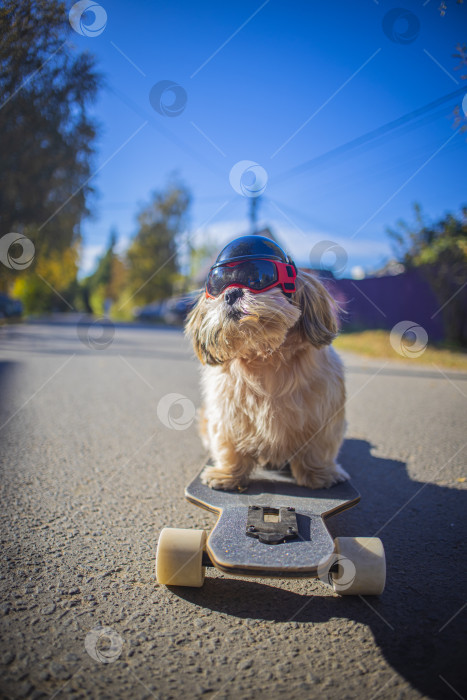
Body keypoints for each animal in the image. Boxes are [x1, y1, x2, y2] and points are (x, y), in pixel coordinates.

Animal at [185, 238, 350, 490]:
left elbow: (317, 448)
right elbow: (228, 445)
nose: (231, 293)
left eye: (257, 278)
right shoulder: (226, 414)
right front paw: (227, 475)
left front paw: (319, 474)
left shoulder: (323, 416)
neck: (265, 357)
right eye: (219, 284)